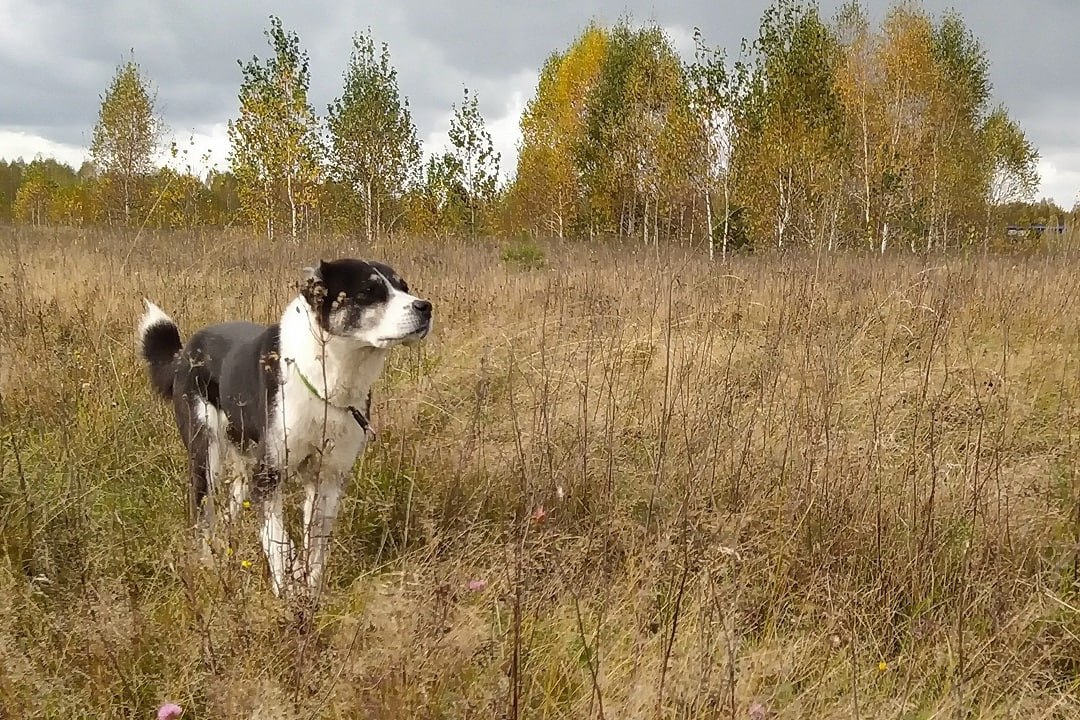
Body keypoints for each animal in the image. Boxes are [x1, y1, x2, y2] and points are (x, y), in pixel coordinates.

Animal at [137, 257, 432, 595]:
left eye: (403, 287)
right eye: (369, 291)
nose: (425, 307)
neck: (329, 375)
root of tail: (185, 352)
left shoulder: (327, 478)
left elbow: (315, 548)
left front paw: (311, 594)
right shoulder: (268, 475)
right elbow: (278, 541)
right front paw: (286, 592)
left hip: (244, 452)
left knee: (234, 496)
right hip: (205, 454)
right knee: (203, 512)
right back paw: (208, 563)